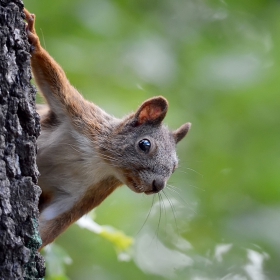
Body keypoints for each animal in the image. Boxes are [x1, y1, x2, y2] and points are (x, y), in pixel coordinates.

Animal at [24, 8, 191, 248]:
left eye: (175, 167)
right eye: (145, 144)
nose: (158, 185)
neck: (99, 161)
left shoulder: (87, 192)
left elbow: (56, 221)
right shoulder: (83, 117)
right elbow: (53, 80)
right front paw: (33, 37)